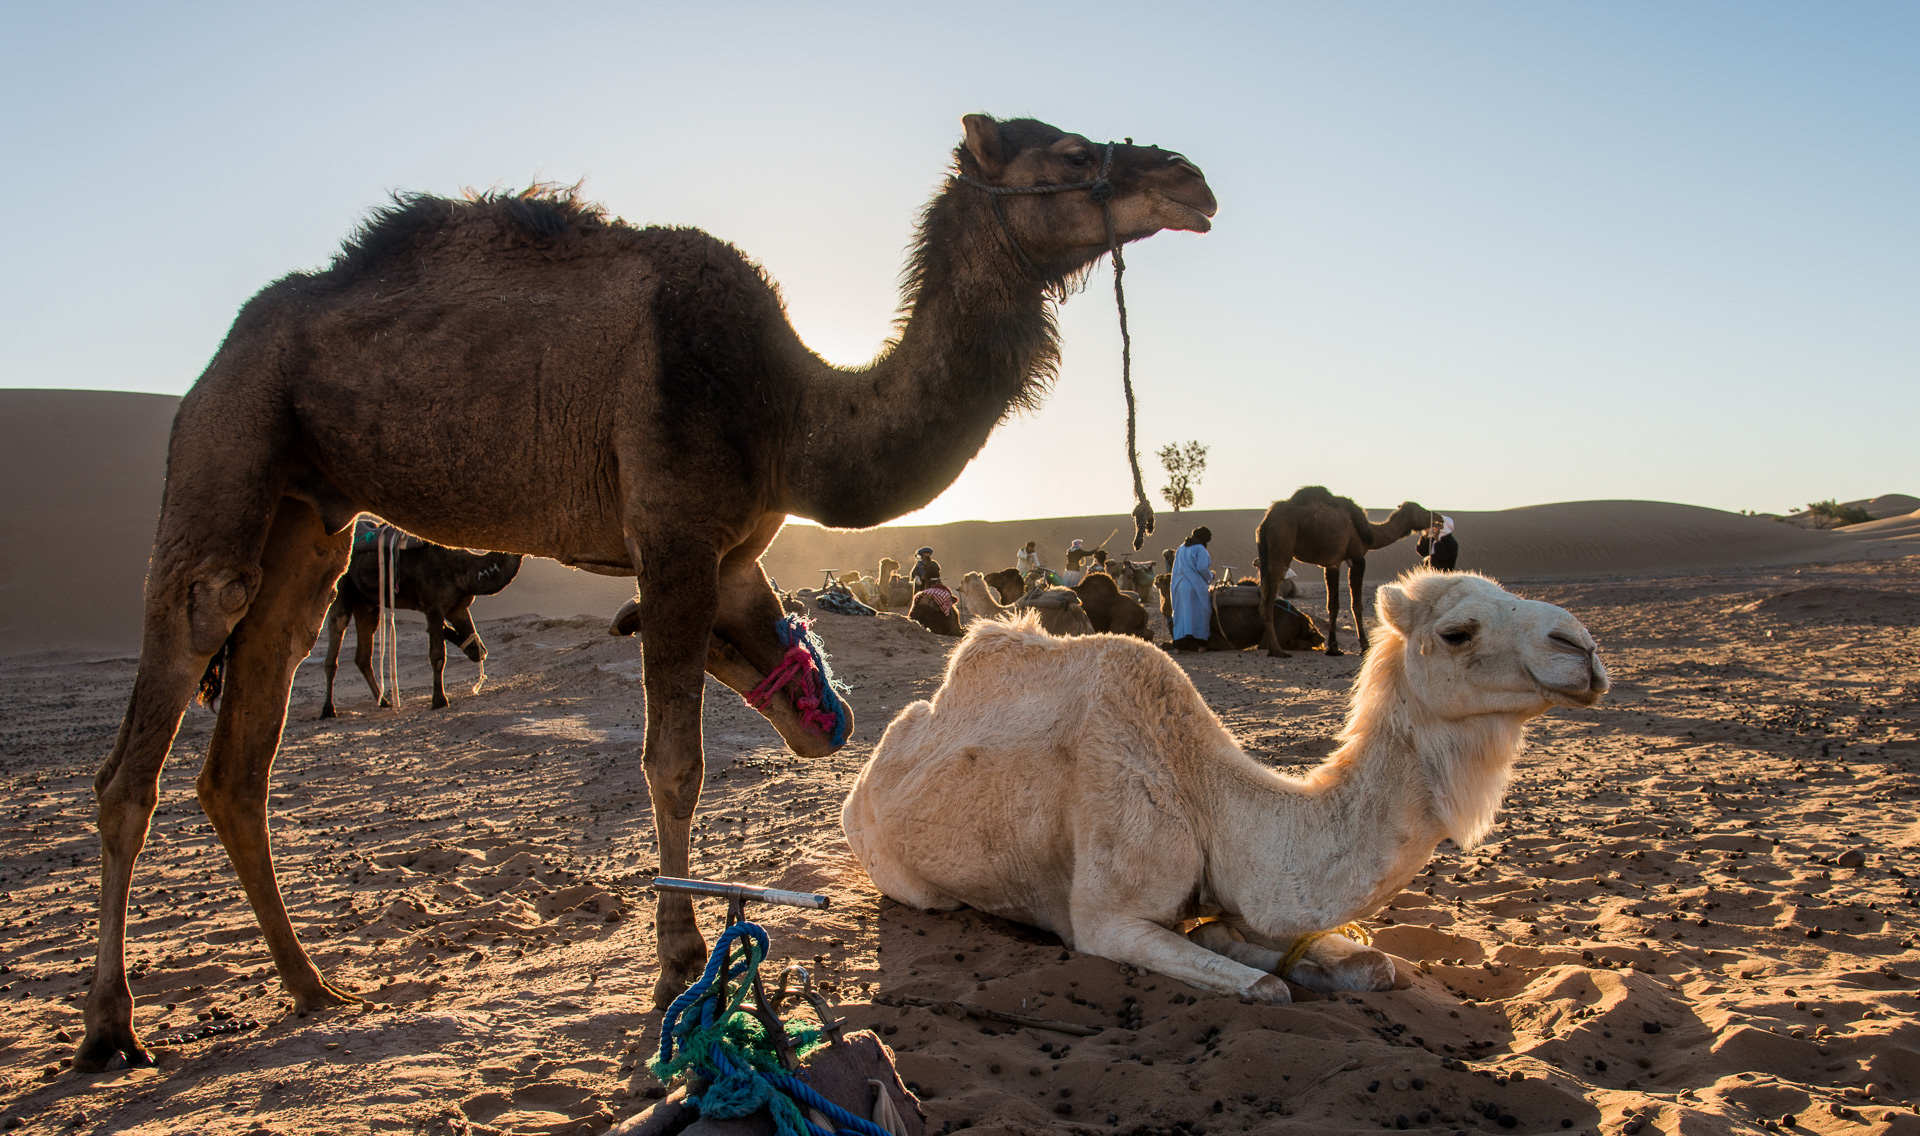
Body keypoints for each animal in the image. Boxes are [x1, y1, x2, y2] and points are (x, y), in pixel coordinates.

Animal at [78, 110, 1213, 1066]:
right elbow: (676, 761)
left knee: (243, 746)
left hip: (314, 518)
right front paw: (681, 962)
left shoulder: (730, 558)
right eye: (1069, 152)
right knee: (160, 704)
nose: (1191, 180)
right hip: (229, 436)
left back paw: (313, 985)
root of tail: (224, 349)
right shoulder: (671, 531)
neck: (793, 411)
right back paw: (110, 1028)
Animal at [840, 571, 1605, 997]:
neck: (1212, 800)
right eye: (1457, 631)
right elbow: (1265, 988)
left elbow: (1371, 966)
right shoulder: (1106, 919)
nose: (1584, 649)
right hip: (897, 868)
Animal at [1259, 485, 1428, 656]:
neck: (1370, 533)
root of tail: (1266, 521)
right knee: (1268, 603)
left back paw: (1273, 649)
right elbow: (1357, 605)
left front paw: (1333, 648)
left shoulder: (1332, 564)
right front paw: (1365, 646)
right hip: (1280, 547)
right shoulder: (1357, 558)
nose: (1435, 518)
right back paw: (1278, 650)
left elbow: (1333, 605)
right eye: (1422, 512)